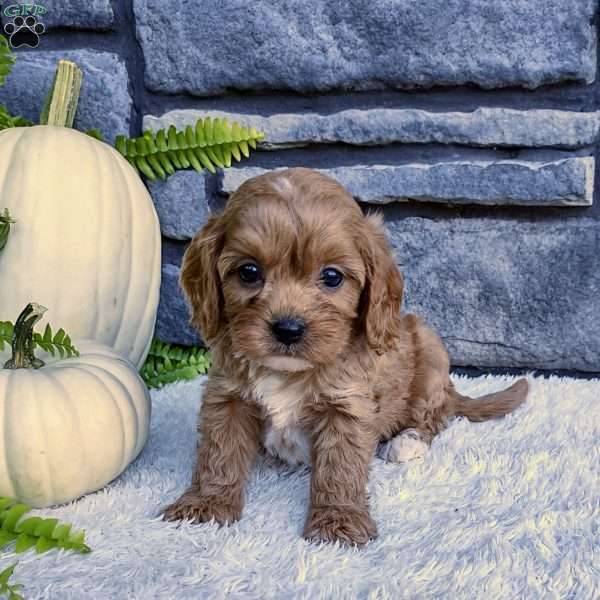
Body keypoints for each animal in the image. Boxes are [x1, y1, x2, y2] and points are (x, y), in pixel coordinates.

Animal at [162, 166, 528, 548]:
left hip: (430, 351)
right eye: (249, 272)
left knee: (436, 416)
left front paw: (338, 521)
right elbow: (219, 452)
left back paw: (406, 442)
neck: (289, 372)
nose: (288, 329)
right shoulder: (227, 395)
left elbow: (340, 467)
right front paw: (206, 503)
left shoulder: (347, 406)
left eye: (332, 276)